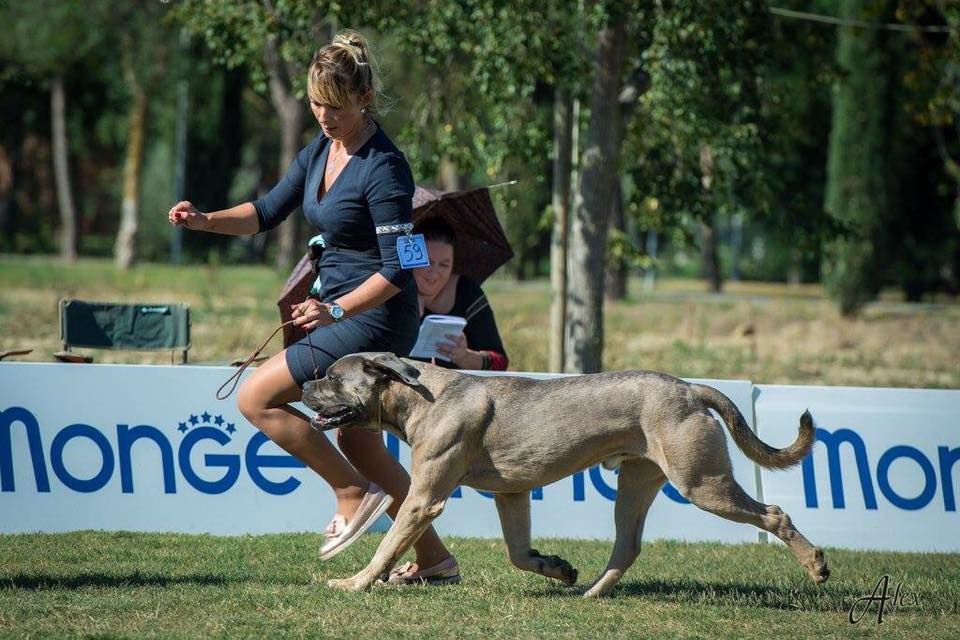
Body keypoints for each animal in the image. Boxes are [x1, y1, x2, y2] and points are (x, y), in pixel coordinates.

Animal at [302, 352, 829, 597]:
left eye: (333, 377)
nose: (305, 384)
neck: (418, 396)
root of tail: (691, 389)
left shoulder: (423, 498)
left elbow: (388, 544)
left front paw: (354, 582)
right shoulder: (511, 495)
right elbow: (518, 553)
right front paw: (556, 567)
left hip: (702, 483)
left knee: (776, 514)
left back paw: (816, 565)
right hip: (636, 484)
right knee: (627, 546)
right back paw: (589, 590)